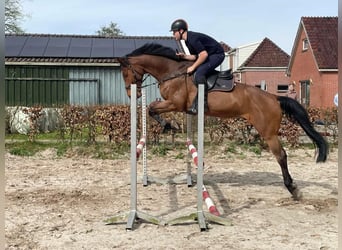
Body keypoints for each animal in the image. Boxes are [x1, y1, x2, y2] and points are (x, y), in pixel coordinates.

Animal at [118, 42, 328, 199]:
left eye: (125, 73)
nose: (131, 94)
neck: (172, 72)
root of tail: (274, 98)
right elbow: (151, 108)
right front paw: (170, 125)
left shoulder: (175, 104)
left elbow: (151, 108)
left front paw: (170, 125)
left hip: (268, 133)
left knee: (281, 156)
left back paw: (292, 188)